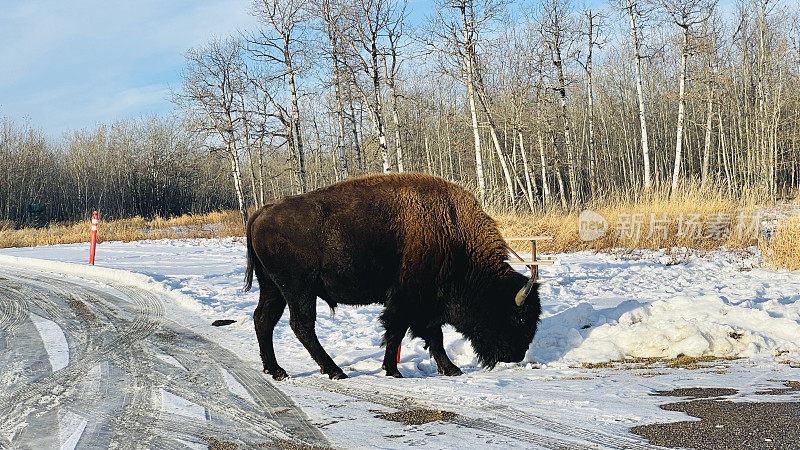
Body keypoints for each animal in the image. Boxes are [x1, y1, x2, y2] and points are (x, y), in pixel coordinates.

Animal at [245, 172, 544, 380]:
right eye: (519, 317)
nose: (516, 354)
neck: (452, 234)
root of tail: (261, 212)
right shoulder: (408, 299)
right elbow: (400, 332)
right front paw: (394, 370)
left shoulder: (425, 304)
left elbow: (431, 336)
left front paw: (451, 369)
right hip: (298, 289)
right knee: (301, 325)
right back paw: (335, 371)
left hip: (273, 288)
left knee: (264, 319)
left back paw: (276, 370)